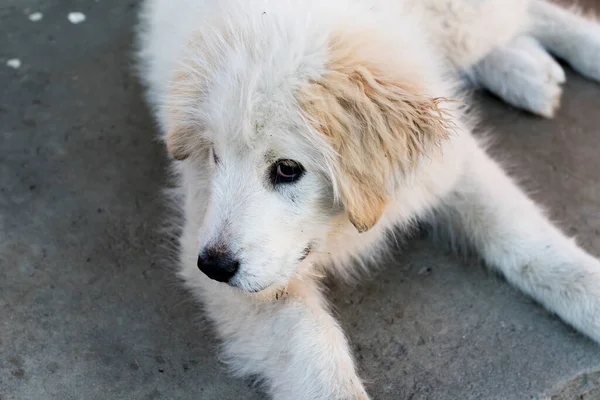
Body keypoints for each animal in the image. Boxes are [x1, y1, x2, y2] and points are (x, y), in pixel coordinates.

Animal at [136, 1, 600, 398]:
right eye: (214, 155)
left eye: (287, 169)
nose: (214, 267)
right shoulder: (213, 242)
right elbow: (309, 344)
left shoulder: (444, 164)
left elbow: (526, 240)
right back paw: (530, 72)